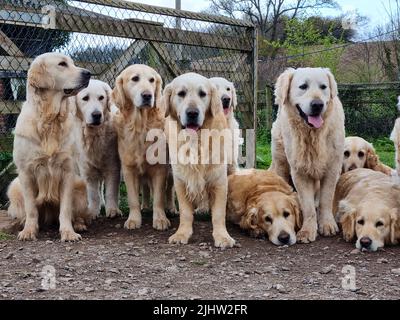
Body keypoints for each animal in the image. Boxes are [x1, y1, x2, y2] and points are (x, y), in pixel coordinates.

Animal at [7, 52, 91, 241]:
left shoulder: (68, 171)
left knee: (77, 213)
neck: (50, 120)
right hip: (15, 187)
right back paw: (23, 223)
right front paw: (29, 231)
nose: (88, 73)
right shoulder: (25, 172)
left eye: (72, 63)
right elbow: (31, 209)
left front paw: (68, 232)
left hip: (81, 186)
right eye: (62, 64)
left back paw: (79, 225)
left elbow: (65, 209)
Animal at [72, 80, 121, 220]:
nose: (97, 115)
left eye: (101, 98)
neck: (94, 135)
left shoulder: (113, 167)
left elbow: (111, 191)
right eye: (85, 98)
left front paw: (113, 210)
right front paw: (93, 211)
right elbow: (93, 194)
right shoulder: (87, 170)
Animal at [111, 64, 170, 230]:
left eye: (152, 80)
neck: (140, 126)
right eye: (135, 78)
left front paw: (160, 219)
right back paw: (145, 207)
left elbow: (159, 197)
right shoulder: (128, 169)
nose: (147, 95)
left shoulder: (160, 168)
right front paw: (134, 219)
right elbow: (133, 199)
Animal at [164, 73, 236, 250]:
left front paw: (222, 236)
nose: (192, 113)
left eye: (202, 94)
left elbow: (218, 214)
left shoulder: (219, 180)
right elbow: (185, 213)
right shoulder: (181, 180)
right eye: (181, 93)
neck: (195, 142)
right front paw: (182, 234)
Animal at [268, 67, 344, 242]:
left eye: (323, 87)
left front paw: (327, 224)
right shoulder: (299, 172)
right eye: (303, 86)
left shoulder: (332, 169)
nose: (317, 105)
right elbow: (307, 206)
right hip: (280, 164)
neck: (312, 134)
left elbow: (325, 199)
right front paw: (308, 230)